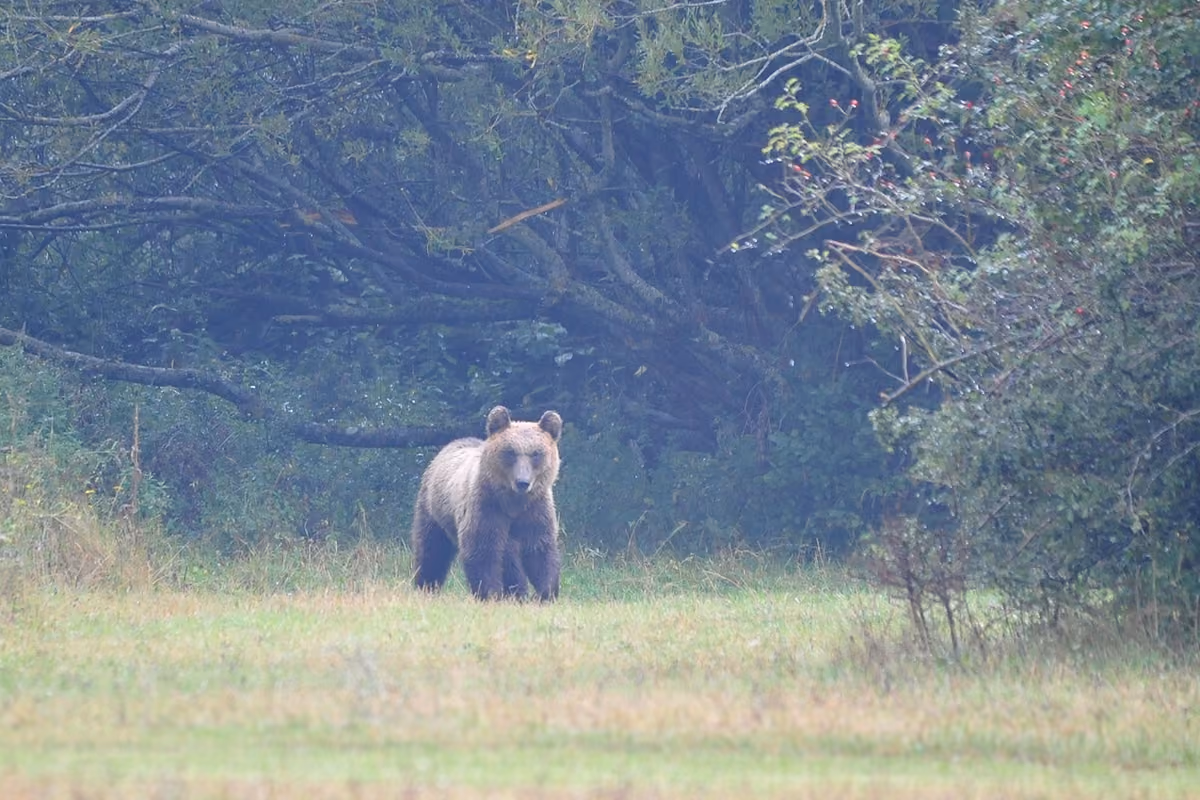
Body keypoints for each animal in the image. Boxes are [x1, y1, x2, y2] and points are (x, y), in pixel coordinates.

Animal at [410, 405, 563, 601]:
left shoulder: (535, 510)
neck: (514, 503)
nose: (522, 482)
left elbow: (540, 550)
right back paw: (426, 585)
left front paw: (545, 594)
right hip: (434, 510)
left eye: (536, 453)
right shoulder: (487, 508)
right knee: (432, 550)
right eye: (511, 451)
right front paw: (491, 594)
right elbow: (482, 551)